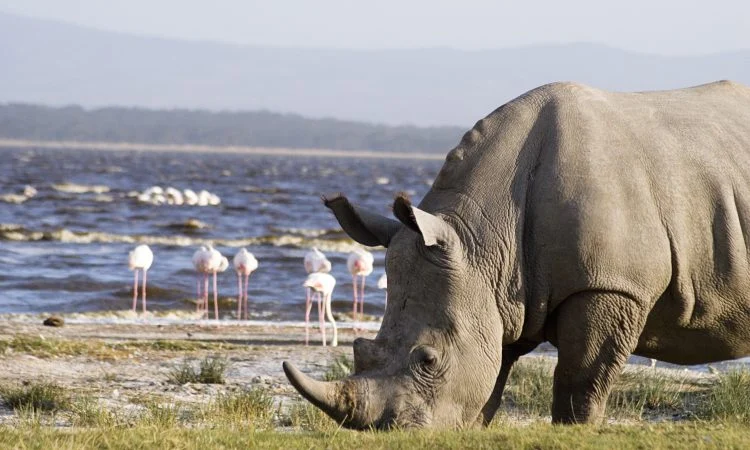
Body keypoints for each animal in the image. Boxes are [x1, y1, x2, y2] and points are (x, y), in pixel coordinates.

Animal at [283, 80, 750, 429]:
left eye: (428, 359)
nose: (389, 432)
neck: (483, 241)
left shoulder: (613, 285)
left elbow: (580, 379)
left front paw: (573, 432)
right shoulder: (498, 291)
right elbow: (491, 377)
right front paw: (469, 430)